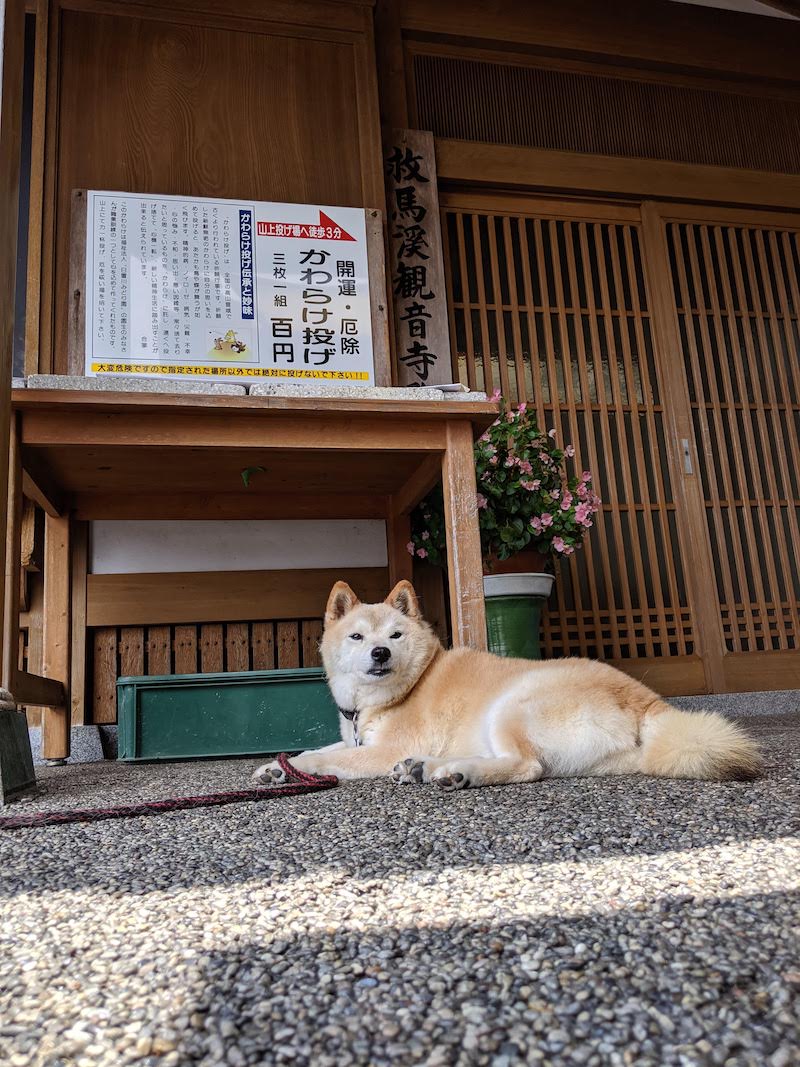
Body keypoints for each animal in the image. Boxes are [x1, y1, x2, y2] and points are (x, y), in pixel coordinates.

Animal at [253, 580, 759, 789]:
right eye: (357, 637)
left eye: (394, 636)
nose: (380, 654)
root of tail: (647, 701)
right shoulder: (358, 739)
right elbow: (321, 750)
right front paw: (277, 768)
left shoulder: (381, 749)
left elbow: (329, 759)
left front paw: (298, 767)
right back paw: (429, 767)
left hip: (512, 704)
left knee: (527, 766)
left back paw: (454, 772)